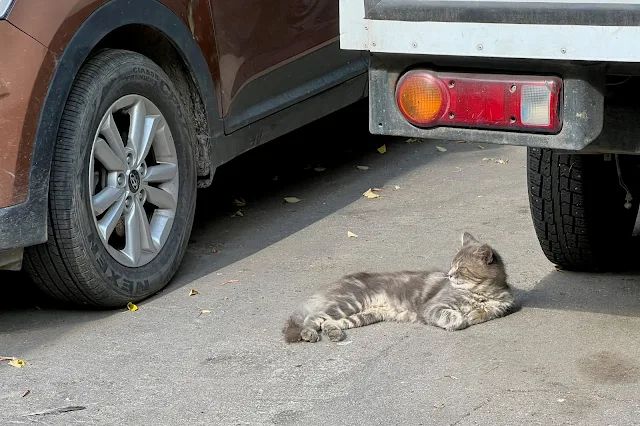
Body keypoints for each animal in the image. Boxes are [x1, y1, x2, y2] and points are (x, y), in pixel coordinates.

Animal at [282, 231, 512, 344]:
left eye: (461, 268)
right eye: (452, 264)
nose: (449, 275)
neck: (482, 293)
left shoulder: (501, 307)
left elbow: (485, 313)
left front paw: (474, 313)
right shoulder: (433, 306)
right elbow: (453, 317)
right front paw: (460, 319)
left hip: (362, 315)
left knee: (329, 322)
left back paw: (334, 334)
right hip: (349, 303)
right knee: (314, 318)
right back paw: (309, 334)